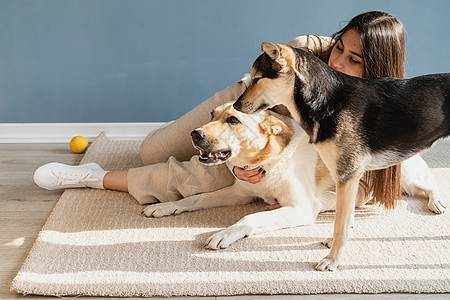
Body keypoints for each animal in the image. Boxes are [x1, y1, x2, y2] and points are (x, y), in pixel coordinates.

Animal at [234, 42, 448, 272]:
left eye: (258, 79)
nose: (236, 106)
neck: (325, 102)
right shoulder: (346, 178)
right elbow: (346, 219)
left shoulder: (347, 176)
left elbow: (340, 226)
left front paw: (333, 260)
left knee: (430, 183)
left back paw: (436, 202)